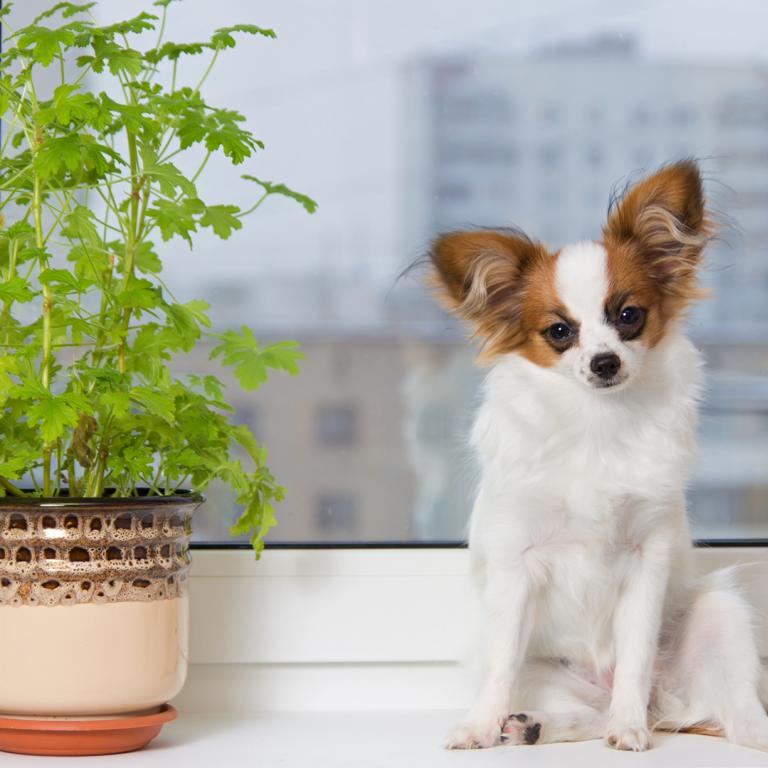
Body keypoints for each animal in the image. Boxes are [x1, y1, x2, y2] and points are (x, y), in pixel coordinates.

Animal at [428, 159, 768, 752]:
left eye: (628, 315)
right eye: (559, 331)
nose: (604, 362)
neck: (597, 422)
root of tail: (668, 705)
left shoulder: (648, 557)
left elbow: (633, 658)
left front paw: (628, 729)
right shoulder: (517, 565)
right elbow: (502, 665)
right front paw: (478, 725)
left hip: (720, 612)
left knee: (732, 715)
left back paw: (639, 718)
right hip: (542, 669)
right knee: (579, 707)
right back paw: (528, 725)